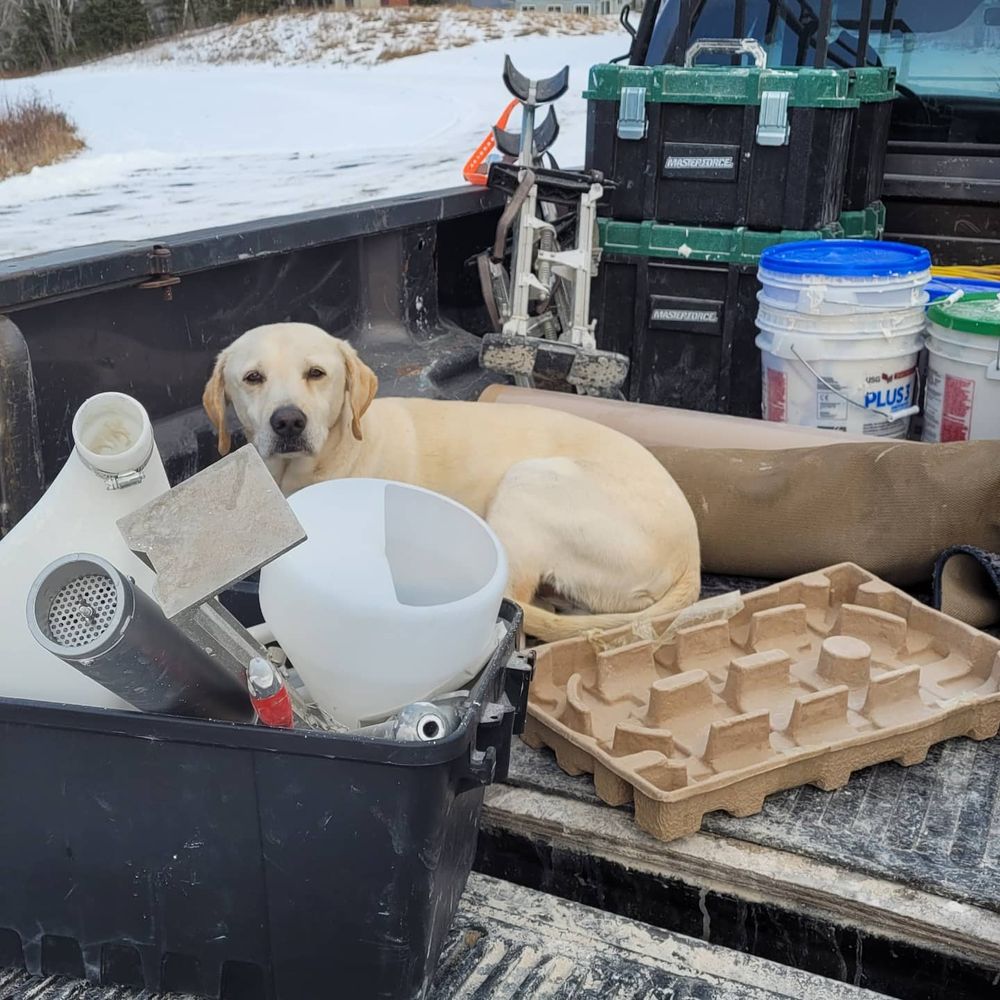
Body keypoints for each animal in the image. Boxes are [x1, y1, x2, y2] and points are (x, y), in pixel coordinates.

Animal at [203, 324, 700, 644]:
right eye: (252, 378)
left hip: (528, 482)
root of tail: (692, 556)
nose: (288, 421)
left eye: (317, 374)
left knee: (517, 602)